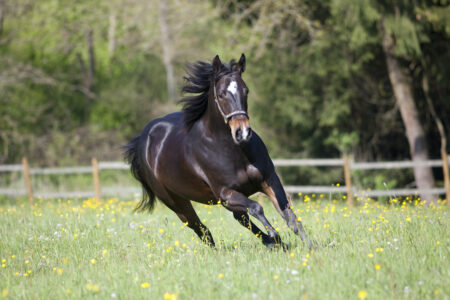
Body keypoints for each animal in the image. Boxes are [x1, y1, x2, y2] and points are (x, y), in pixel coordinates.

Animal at [125, 52, 312, 250]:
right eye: (222, 94)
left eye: (246, 91)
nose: (242, 133)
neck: (233, 152)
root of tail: (142, 139)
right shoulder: (226, 193)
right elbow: (257, 207)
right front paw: (274, 235)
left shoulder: (269, 180)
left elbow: (290, 217)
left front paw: (310, 247)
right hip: (176, 201)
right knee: (201, 228)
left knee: (239, 218)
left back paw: (273, 243)